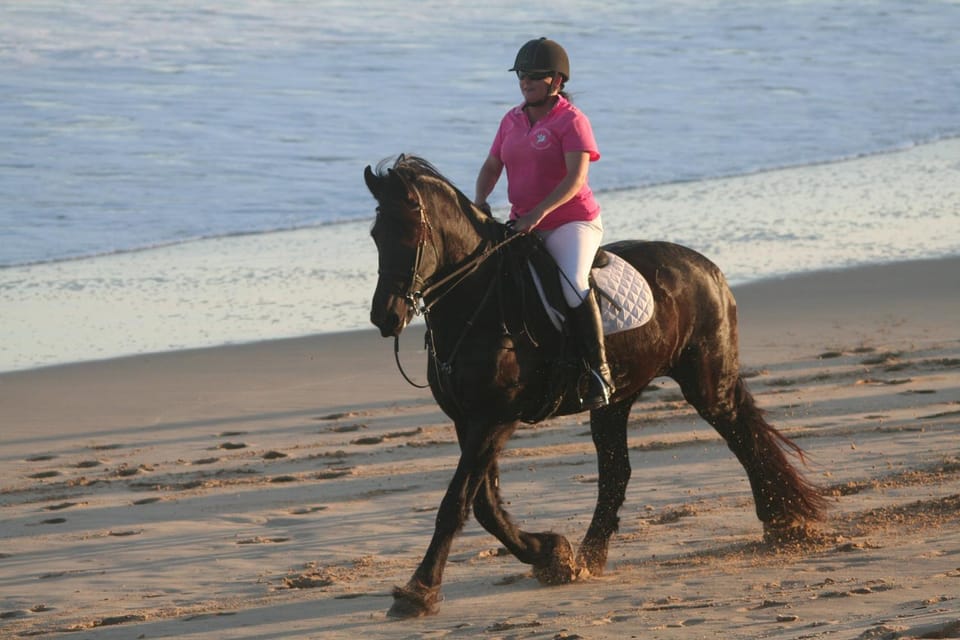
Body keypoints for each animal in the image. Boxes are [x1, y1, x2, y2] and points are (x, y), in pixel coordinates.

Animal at [363, 154, 826, 619]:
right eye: (375, 234)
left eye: (413, 233)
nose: (386, 316)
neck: (482, 302)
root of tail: (707, 269)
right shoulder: (470, 420)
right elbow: (485, 504)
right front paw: (550, 553)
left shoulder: (495, 419)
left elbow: (456, 503)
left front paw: (419, 589)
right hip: (615, 400)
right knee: (618, 471)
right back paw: (589, 555)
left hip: (706, 386)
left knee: (742, 436)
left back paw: (783, 521)